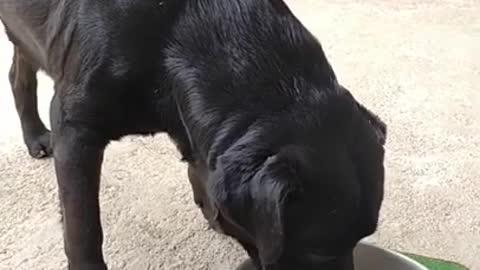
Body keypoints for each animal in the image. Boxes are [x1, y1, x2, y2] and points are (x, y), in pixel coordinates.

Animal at [0, 0, 386, 270]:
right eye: (318, 253)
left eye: (363, 237)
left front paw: (211, 207)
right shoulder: (76, 127)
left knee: (18, 70)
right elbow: (83, 228)